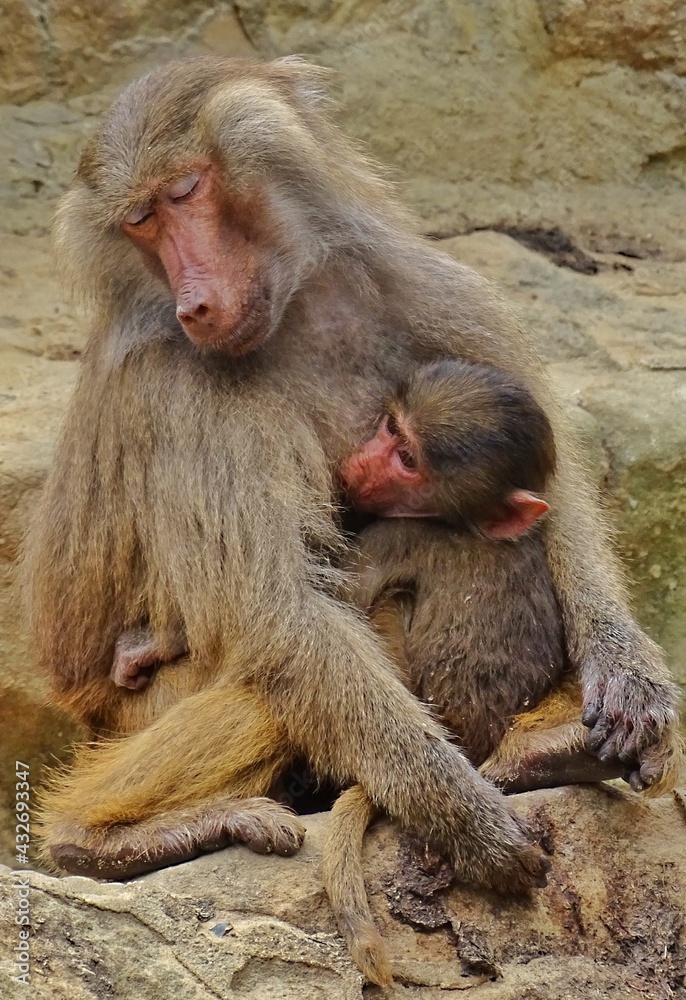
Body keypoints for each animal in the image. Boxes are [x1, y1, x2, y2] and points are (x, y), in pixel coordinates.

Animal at [22, 57, 680, 899]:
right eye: (138, 221)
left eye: (185, 191)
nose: (193, 303)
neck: (299, 304)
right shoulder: (183, 387)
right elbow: (286, 610)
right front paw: (460, 815)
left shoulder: (428, 285)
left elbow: (552, 489)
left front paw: (630, 680)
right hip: (142, 709)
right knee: (278, 671)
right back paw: (102, 838)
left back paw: (549, 746)